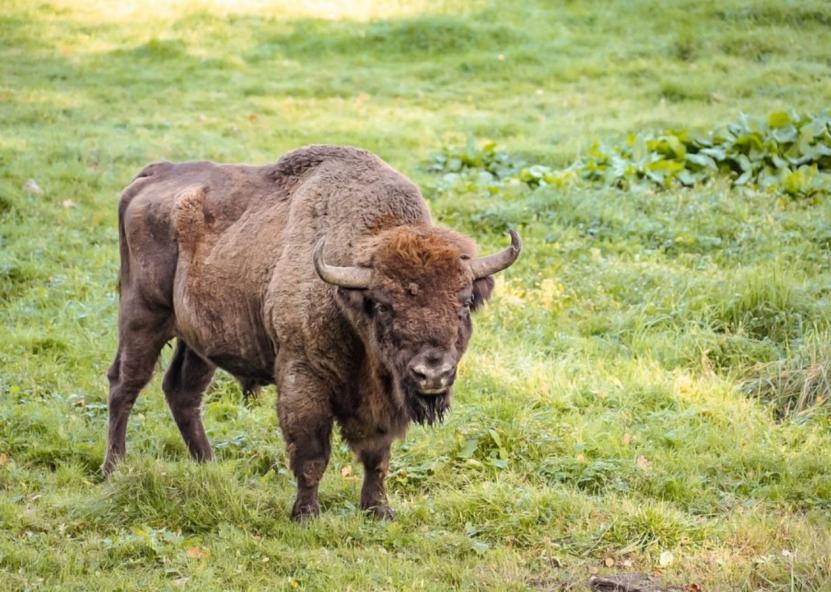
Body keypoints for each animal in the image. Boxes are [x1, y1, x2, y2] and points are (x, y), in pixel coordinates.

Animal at [102, 146, 520, 520]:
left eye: (464, 303)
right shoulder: (303, 379)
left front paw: (378, 510)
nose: (432, 373)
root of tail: (155, 174)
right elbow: (311, 454)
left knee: (182, 392)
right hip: (143, 316)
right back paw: (114, 468)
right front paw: (306, 514)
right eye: (383, 305)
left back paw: (209, 465)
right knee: (124, 385)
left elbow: (377, 455)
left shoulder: (380, 403)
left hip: (198, 341)